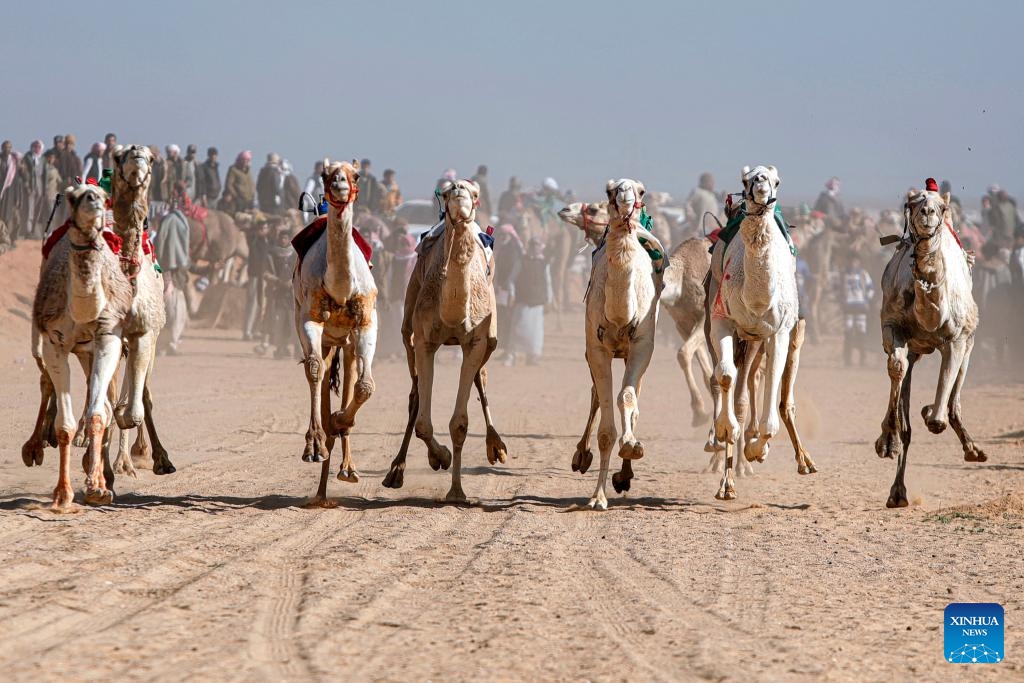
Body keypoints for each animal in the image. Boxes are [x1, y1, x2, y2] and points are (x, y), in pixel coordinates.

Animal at [385, 179, 507, 499]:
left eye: (475, 193)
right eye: (449, 189)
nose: (461, 198)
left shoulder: (476, 342)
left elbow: (460, 424)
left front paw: (456, 492)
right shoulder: (424, 341)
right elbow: (423, 423)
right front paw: (439, 458)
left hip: (491, 338)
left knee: (481, 377)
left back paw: (496, 447)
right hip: (408, 326)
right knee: (414, 396)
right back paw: (396, 470)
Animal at [872, 181, 983, 507]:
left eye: (942, 207)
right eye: (912, 204)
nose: (928, 213)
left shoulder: (958, 339)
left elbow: (937, 417)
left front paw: (931, 411)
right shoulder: (891, 326)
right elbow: (896, 367)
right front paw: (887, 441)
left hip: (968, 339)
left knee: (951, 397)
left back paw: (972, 449)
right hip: (918, 348)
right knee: (907, 400)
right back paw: (897, 492)